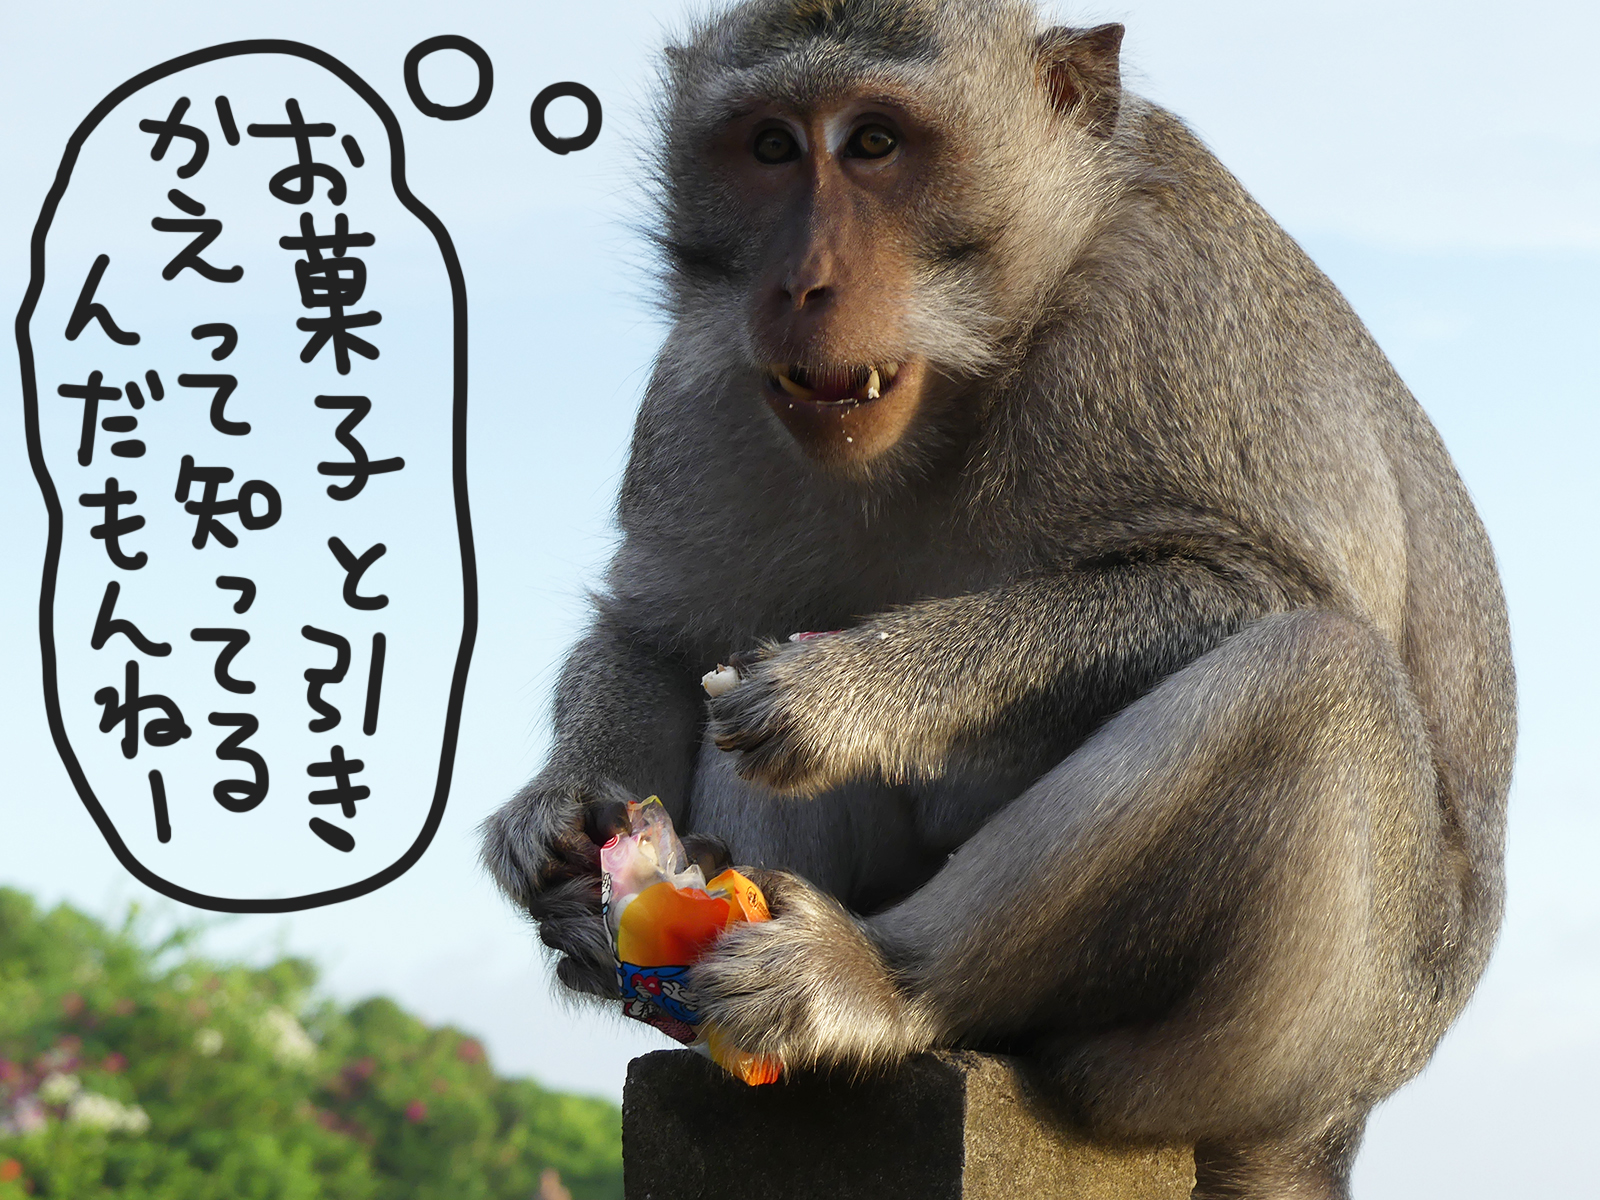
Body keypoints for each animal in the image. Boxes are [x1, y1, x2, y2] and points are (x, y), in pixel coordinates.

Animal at [481, 1, 1515, 1196]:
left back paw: (878, 988)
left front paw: (850, 689)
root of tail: (1327, 1125)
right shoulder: (703, 384)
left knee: (1316, 676)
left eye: (876, 144)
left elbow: (1254, 588)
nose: (797, 286)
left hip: (1280, 1045)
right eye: (771, 146)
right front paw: (560, 834)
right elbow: (659, 637)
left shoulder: (1164, 322)